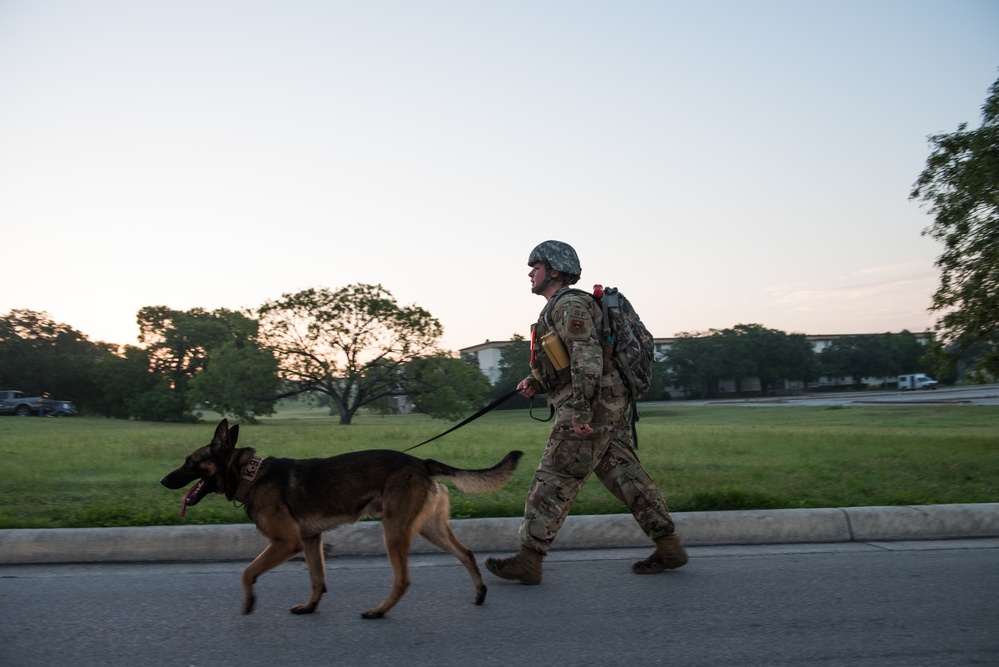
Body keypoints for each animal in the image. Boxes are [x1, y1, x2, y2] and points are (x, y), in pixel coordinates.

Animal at [162, 420, 524, 620]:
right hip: (429, 528)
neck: (251, 474)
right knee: (467, 553)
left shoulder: (286, 542)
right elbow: (317, 579)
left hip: (394, 530)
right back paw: (479, 593)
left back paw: (379, 611)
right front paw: (310, 607)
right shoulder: (309, 540)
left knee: (403, 579)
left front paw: (249, 602)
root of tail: (422, 462)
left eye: (190, 462)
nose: (164, 481)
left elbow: (247, 571)